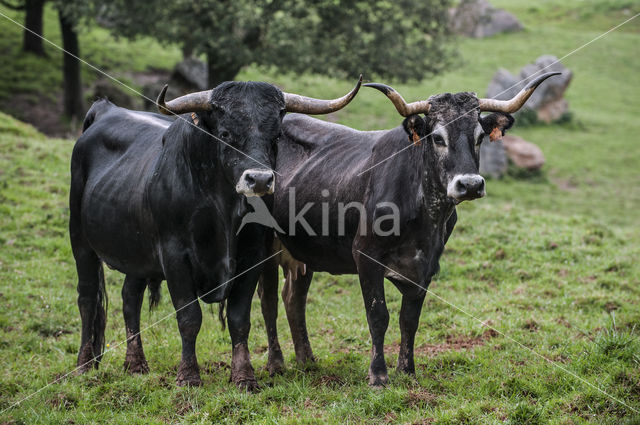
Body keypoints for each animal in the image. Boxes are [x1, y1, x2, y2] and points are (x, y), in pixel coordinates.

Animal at [71, 74, 360, 390]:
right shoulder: (175, 256)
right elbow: (189, 317)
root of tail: (106, 110)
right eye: (225, 133)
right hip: (80, 241)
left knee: (129, 299)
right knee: (87, 297)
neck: (221, 203)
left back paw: (136, 364)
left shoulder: (252, 257)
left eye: (275, 136)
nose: (260, 180)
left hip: (137, 253)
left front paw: (244, 376)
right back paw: (84, 365)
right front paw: (188, 376)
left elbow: (239, 318)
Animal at [258, 72, 556, 384]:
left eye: (479, 137)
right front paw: (378, 375)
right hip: (263, 245)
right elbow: (378, 316)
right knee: (269, 301)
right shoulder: (366, 256)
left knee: (294, 298)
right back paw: (276, 364)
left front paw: (407, 370)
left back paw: (307, 361)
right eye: (437, 138)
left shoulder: (426, 266)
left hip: (301, 251)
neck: (425, 213)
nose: (471, 184)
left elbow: (409, 319)